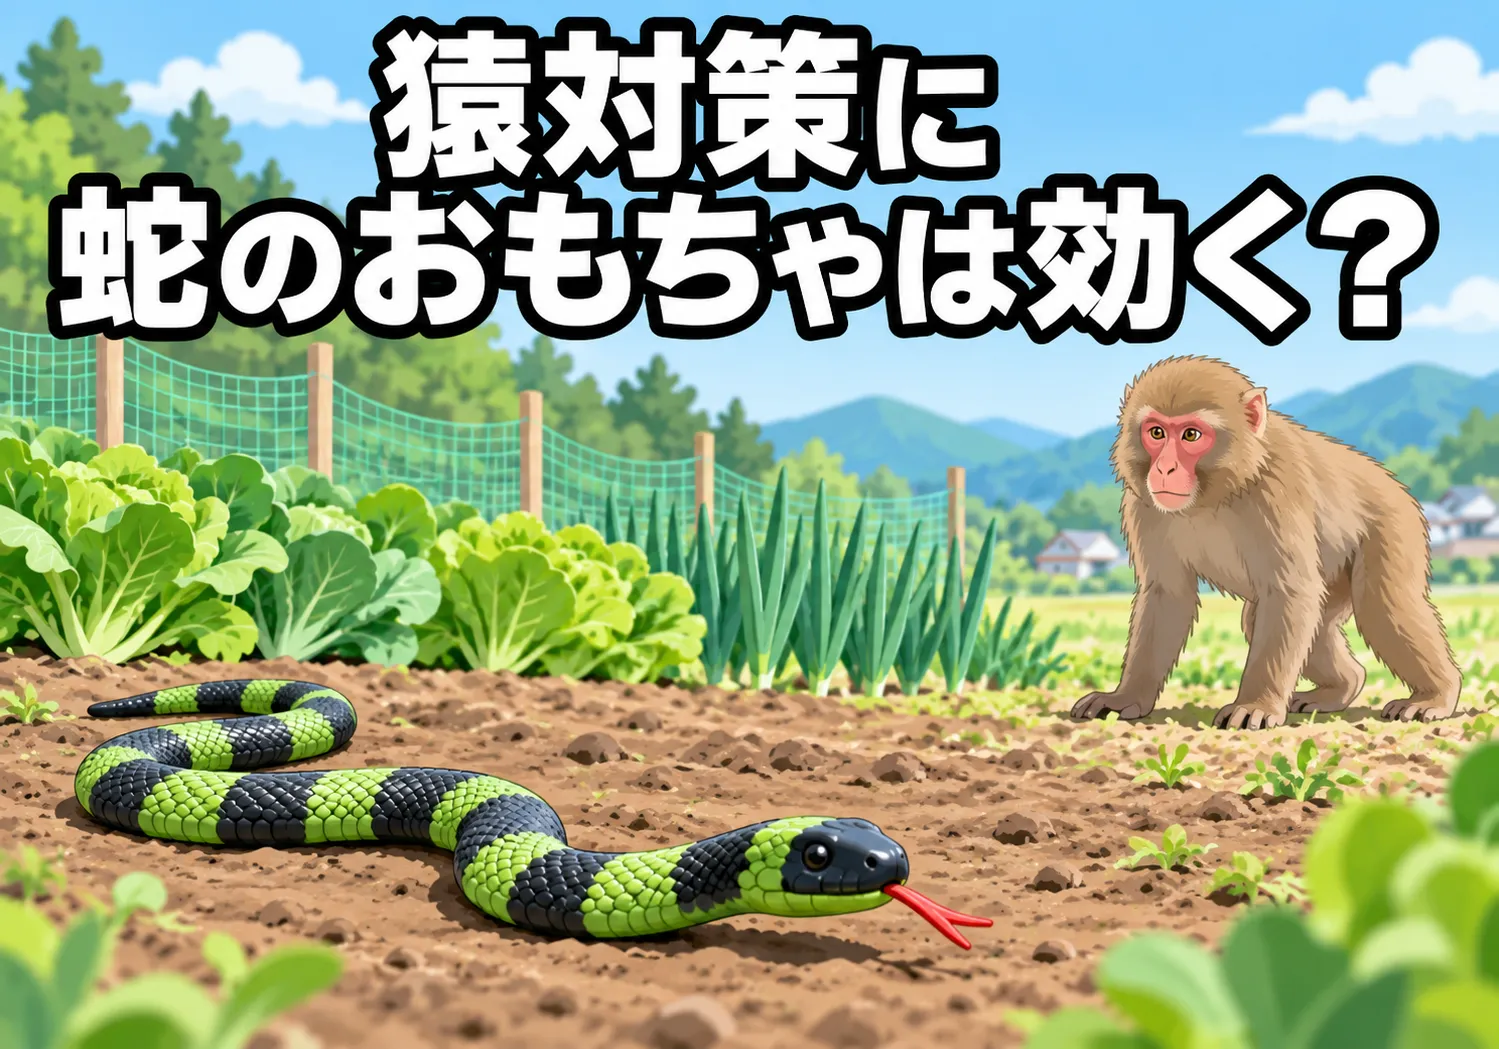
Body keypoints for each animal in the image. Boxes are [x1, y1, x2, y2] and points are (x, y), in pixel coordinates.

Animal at [1071, 355, 1462, 730]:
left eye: (1191, 435)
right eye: (1156, 432)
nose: (1164, 468)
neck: (1217, 493)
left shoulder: (1278, 492)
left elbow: (1290, 591)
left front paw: (1255, 706)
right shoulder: (1144, 506)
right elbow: (1168, 596)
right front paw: (1125, 697)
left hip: (1394, 525)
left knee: (1382, 604)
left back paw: (1437, 693)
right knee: (1285, 618)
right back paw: (1342, 686)